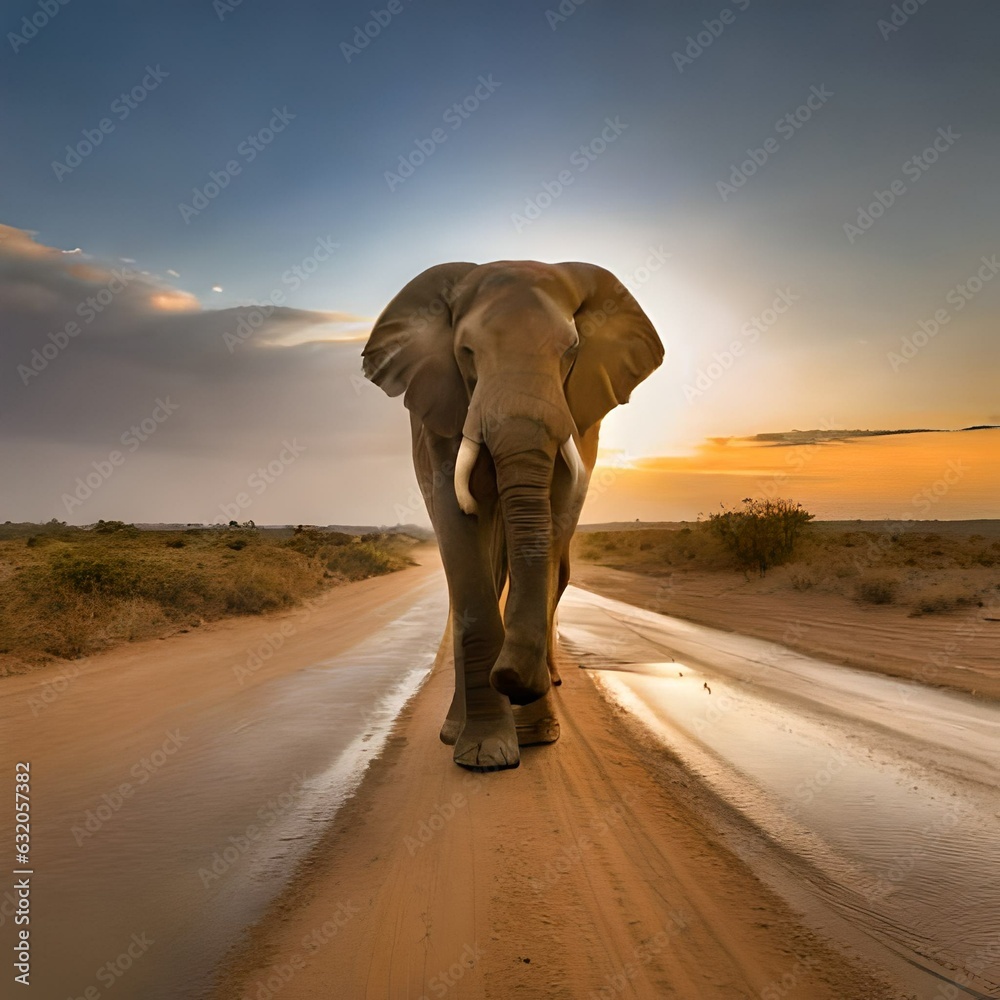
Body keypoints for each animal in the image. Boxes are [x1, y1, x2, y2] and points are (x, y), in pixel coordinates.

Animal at [362, 260, 663, 771]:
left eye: (572, 351)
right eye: (466, 353)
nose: (514, 680)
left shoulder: (576, 420)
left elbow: (557, 516)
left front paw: (536, 734)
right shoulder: (441, 414)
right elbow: (455, 524)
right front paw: (485, 754)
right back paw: (453, 731)